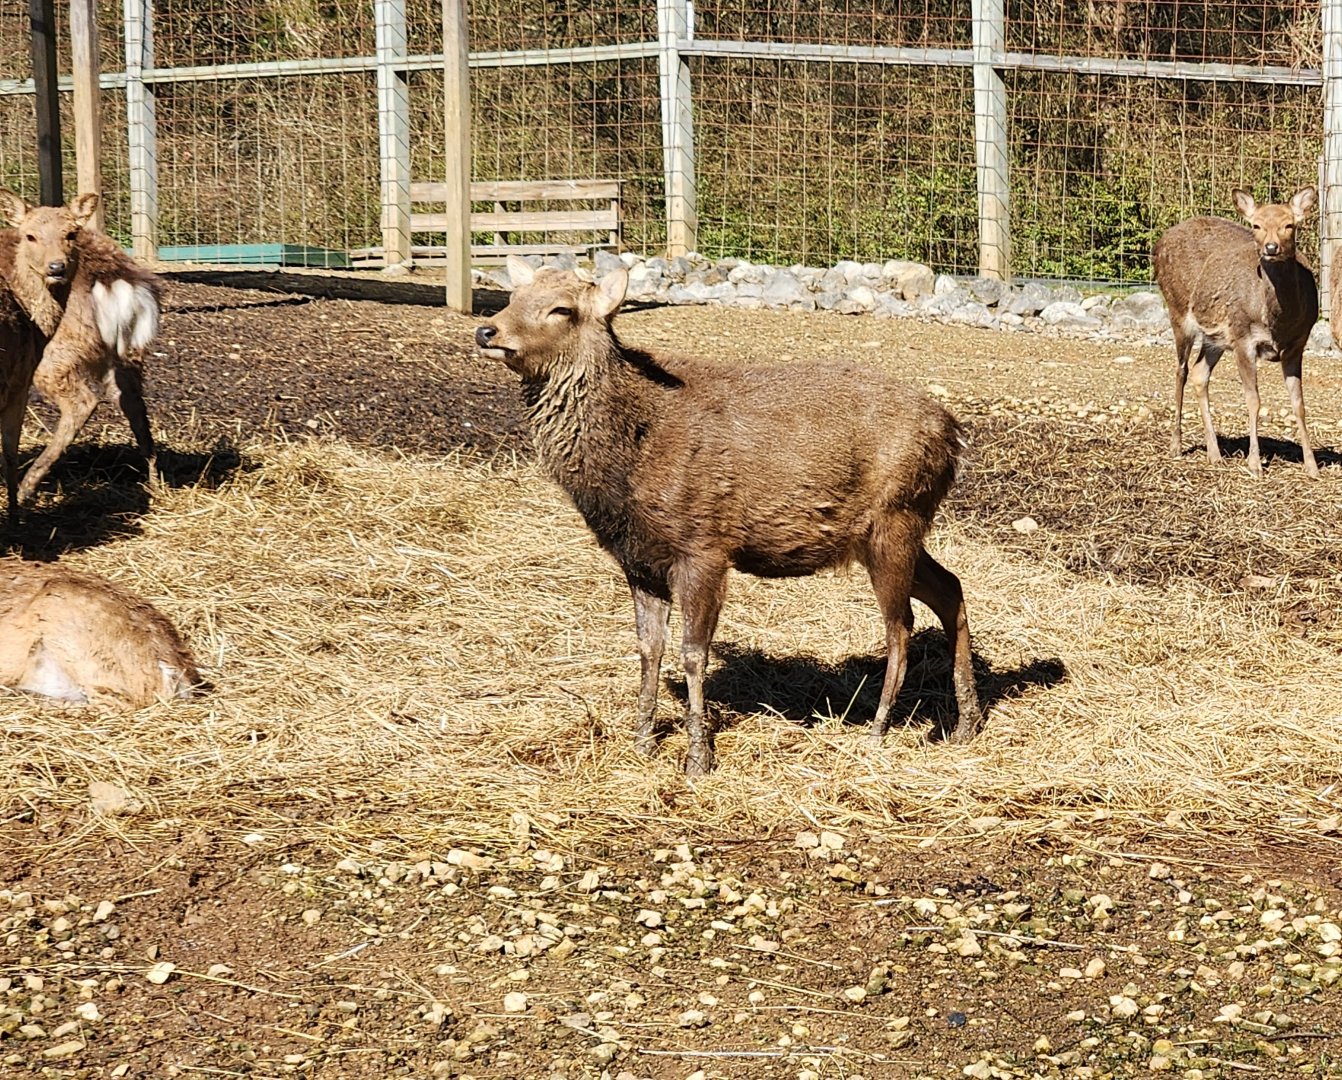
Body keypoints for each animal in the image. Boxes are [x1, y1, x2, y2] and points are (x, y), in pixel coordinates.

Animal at [0, 189, 162, 506]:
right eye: (30, 236)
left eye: (70, 233)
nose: (56, 267)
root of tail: (119, 281)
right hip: (125, 352)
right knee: (132, 400)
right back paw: (155, 484)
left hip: (58, 355)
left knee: (83, 400)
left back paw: (27, 487)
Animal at [475, 256, 982, 776]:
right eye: (514, 296)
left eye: (562, 309)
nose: (487, 330)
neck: (628, 469)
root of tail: (955, 436)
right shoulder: (639, 560)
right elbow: (648, 649)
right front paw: (642, 743)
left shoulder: (704, 545)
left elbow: (693, 653)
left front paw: (697, 757)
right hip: (889, 531)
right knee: (950, 588)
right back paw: (965, 722)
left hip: (896, 516)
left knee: (900, 627)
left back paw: (878, 731)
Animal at [1154, 187, 1320, 478]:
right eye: (1256, 225)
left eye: (1290, 225)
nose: (1271, 248)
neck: (1277, 322)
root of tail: (1159, 243)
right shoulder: (1244, 338)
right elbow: (1253, 400)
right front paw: (1254, 464)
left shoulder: (1297, 345)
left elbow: (1299, 404)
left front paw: (1312, 466)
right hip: (1178, 312)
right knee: (1181, 371)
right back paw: (1176, 445)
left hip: (1216, 338)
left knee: (1199, 373)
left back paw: (1214, 453)